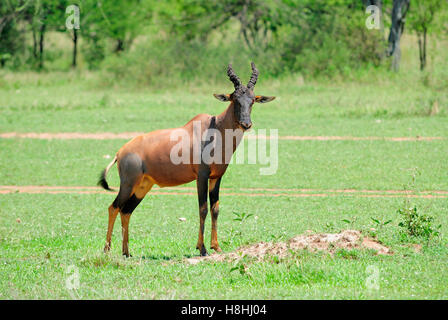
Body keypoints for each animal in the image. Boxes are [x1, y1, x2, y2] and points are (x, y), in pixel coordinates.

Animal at [99, 63, 274, 258]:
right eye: (234, 99)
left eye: (252, 100)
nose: (246, 124)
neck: (214, 128)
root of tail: (120, 152)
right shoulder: (201, 176)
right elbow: (202, 208)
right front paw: (202, 248)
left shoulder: (216, 177)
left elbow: (215, 209)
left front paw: (216, 246)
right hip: (128, 184)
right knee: (113, 207)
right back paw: (107, 250)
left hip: (142, 187)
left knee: (126, 211)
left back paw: (127, 252)